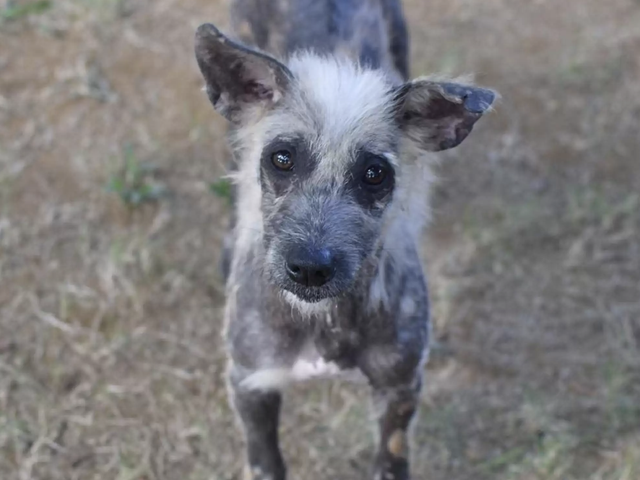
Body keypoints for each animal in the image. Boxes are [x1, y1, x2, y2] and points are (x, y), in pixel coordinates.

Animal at [194, 1, 496, 478]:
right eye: (282, 159)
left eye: (375, 173)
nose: (310, 268)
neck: (324, 321)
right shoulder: (251, 385)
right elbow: (265, 461)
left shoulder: (399, 391)